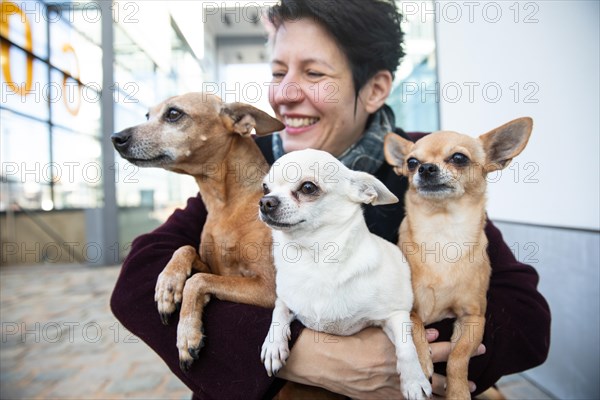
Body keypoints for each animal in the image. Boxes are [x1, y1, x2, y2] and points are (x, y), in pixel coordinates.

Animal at [113, 92, 286, 370]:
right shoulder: (215, 267)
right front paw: (168, 283)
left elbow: (197, 281)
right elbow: (186, 250)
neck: (225, 206)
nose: (116, 137)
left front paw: (186, 334)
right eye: (147, 115)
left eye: (173, 114)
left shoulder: (268, 287)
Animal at [382, 117, 532, 398]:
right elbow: (415, 326)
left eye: (459, 158)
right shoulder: (410, 309)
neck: (443, 234)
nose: (425, 168)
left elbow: (459, 356)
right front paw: (421, 361)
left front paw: (458, 391)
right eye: (411, 162)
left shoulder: (473, 317)